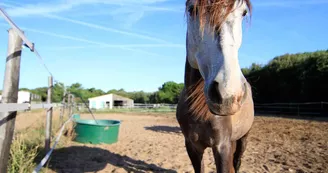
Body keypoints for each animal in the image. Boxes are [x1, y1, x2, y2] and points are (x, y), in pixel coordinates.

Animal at [176, 0, 255, 172]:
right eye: (192, 9)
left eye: (244, 12)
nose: (229, 93)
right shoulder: (192, 146)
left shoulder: (222, 147)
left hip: (243, 137)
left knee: (237, 162)